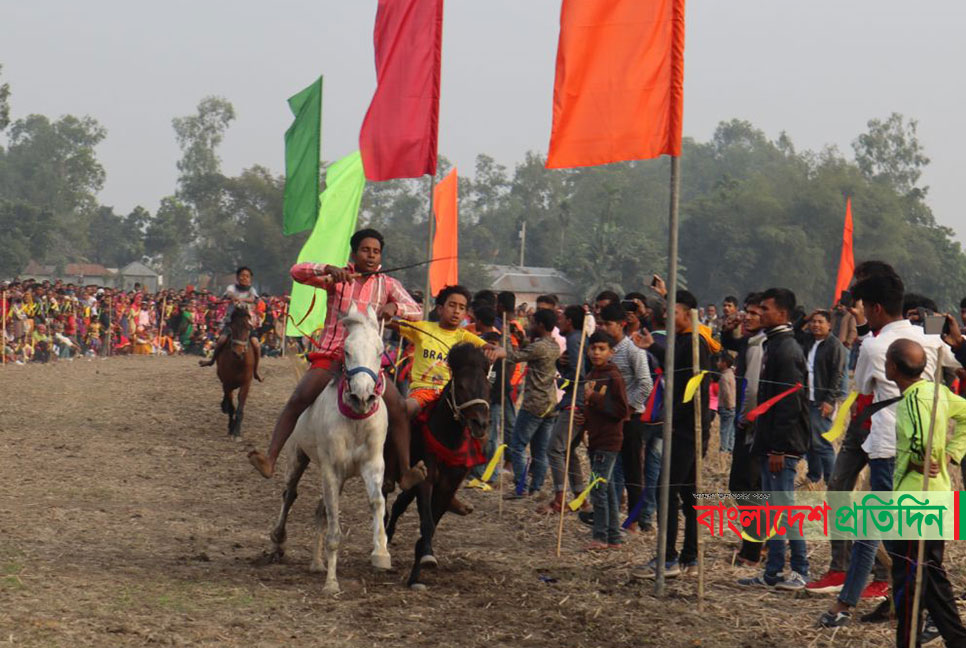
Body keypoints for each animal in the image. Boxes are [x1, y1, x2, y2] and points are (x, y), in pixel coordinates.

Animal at [217, 308, 258, 440]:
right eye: (232, 327)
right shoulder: (227, 383)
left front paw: (237, 431)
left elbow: (240, 406)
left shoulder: (246, 384)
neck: (238, 362)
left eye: (248, 328)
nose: (237, 352)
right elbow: (231, 406)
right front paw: (231, 427)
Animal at [268, 304, 390, 592]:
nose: (362, 395)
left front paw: (381, 553)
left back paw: (316, 563)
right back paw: (278, 540)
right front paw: (332, 584)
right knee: (289, 494)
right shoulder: (331, 470)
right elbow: (334, 523)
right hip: (298, 458)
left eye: (380, 351)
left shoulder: (372, 465)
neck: (356, 419)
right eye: (347, 350)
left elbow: (376, 501)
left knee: (319, 510)